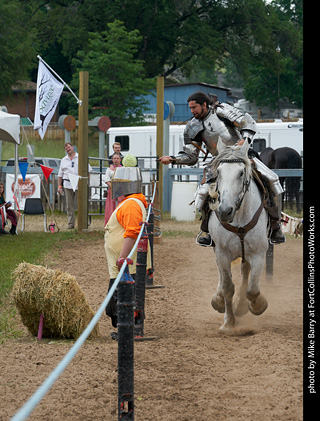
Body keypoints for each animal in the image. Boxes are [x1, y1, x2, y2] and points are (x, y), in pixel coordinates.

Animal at [208, 139, 270, 334]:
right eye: (219, 172)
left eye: (241, 172)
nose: (224, 211)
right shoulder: (221, 253)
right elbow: (228, 286)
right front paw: (228, 323)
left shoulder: (258, 254)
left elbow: (252, 289)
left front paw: (257, 305)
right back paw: (218, 299)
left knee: (245, 273)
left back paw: (241, 304)